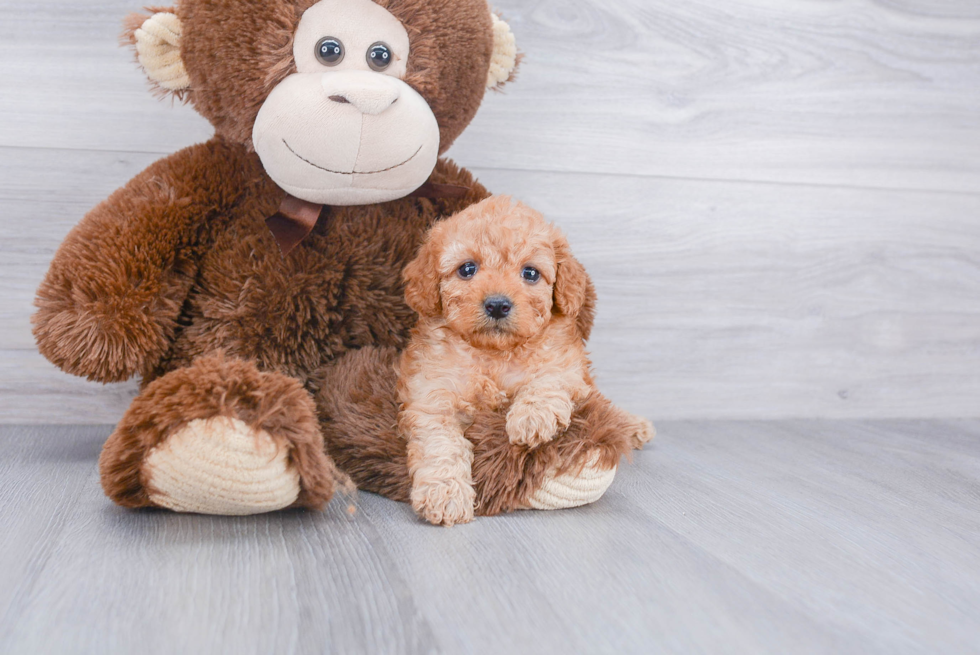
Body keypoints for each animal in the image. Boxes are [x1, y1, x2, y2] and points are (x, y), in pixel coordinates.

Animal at [398, 196, 652, 528]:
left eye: (530, 273)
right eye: (467, 268)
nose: (497, 304)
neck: (494, 353)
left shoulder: (565, 362)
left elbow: (547, 378)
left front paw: (531, 418)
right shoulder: (431, 396)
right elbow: (441, 445)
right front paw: (445, 495)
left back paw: (634, 426)